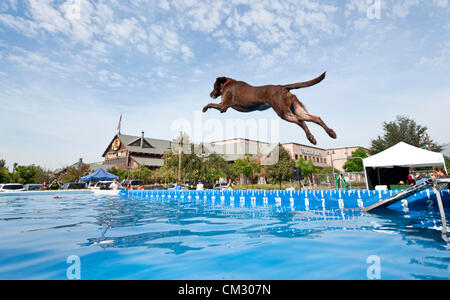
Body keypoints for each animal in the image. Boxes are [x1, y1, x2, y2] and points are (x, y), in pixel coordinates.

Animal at [202, 72, 336, 145]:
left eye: (213, 86)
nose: (210, 94)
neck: (227, 83)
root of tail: (283, 87)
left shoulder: (223, 106)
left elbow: (209, 104)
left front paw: (204, 108)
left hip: (283, 112)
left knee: (300, 121)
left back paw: (311, 138)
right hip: (296, 108)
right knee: (315, 118)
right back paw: (331, 133)